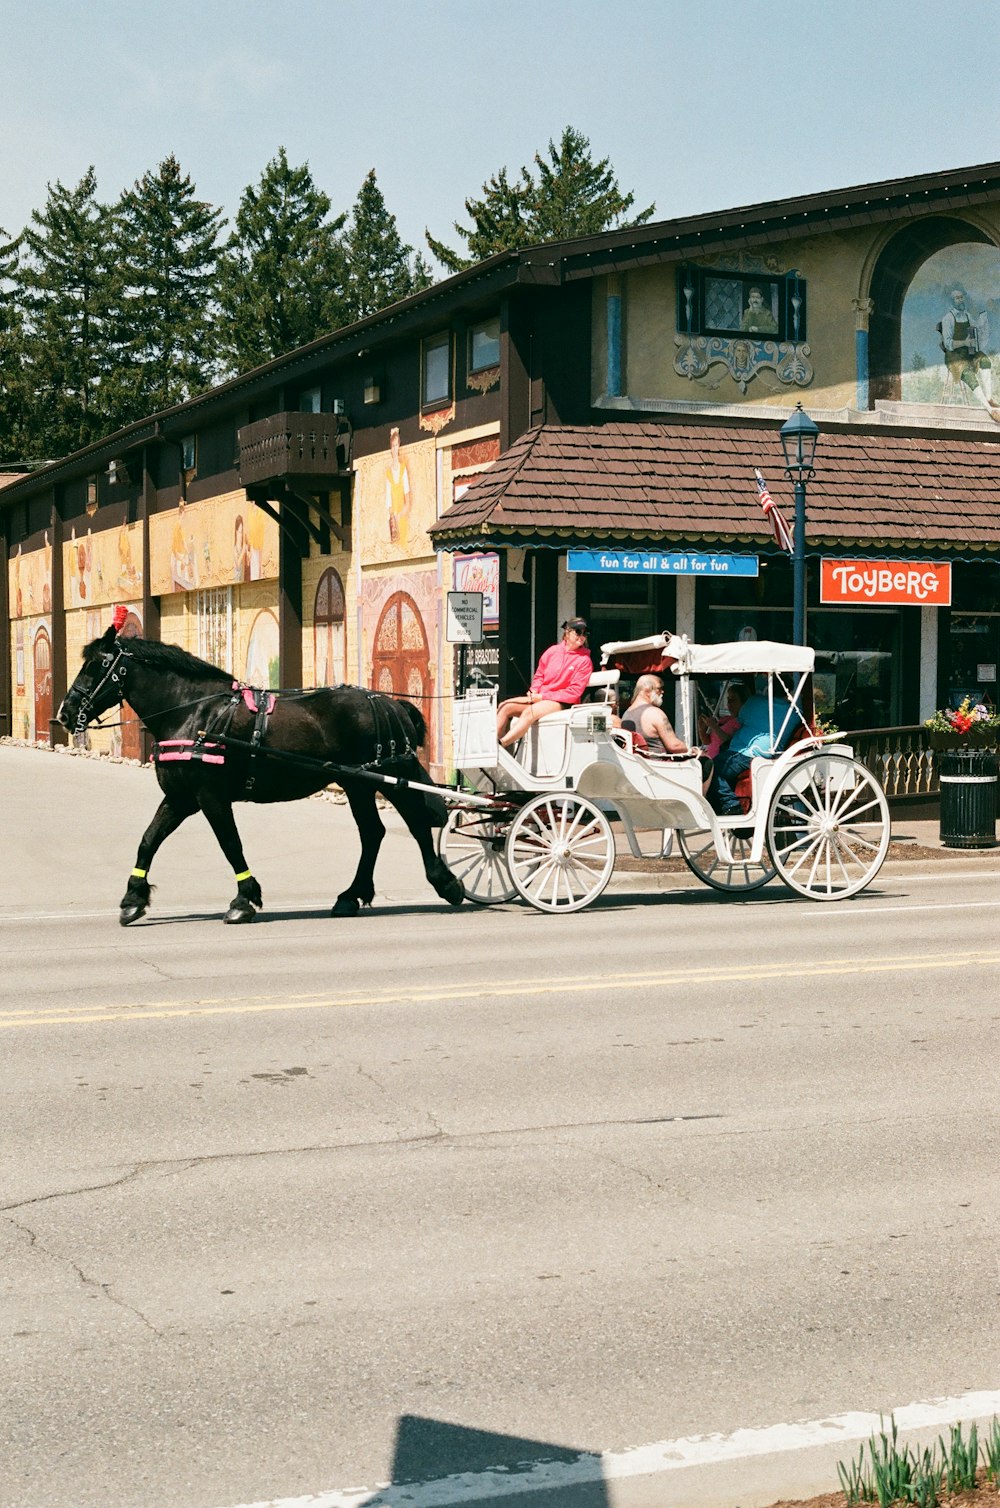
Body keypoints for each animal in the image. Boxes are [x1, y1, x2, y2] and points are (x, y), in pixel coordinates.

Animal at [60, 621, 467, 916]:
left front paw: (244, 898)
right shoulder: (180, 798)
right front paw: (133, 898)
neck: (193, 713)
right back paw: (352, 895)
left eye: (97, 665)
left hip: (389, 778)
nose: (65, 713)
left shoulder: (210, 797)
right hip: (358, 784)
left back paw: (445, 883)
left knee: (415, 823)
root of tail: (388, 703)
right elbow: (148, 840)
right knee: (374, 832)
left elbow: (230, 844)